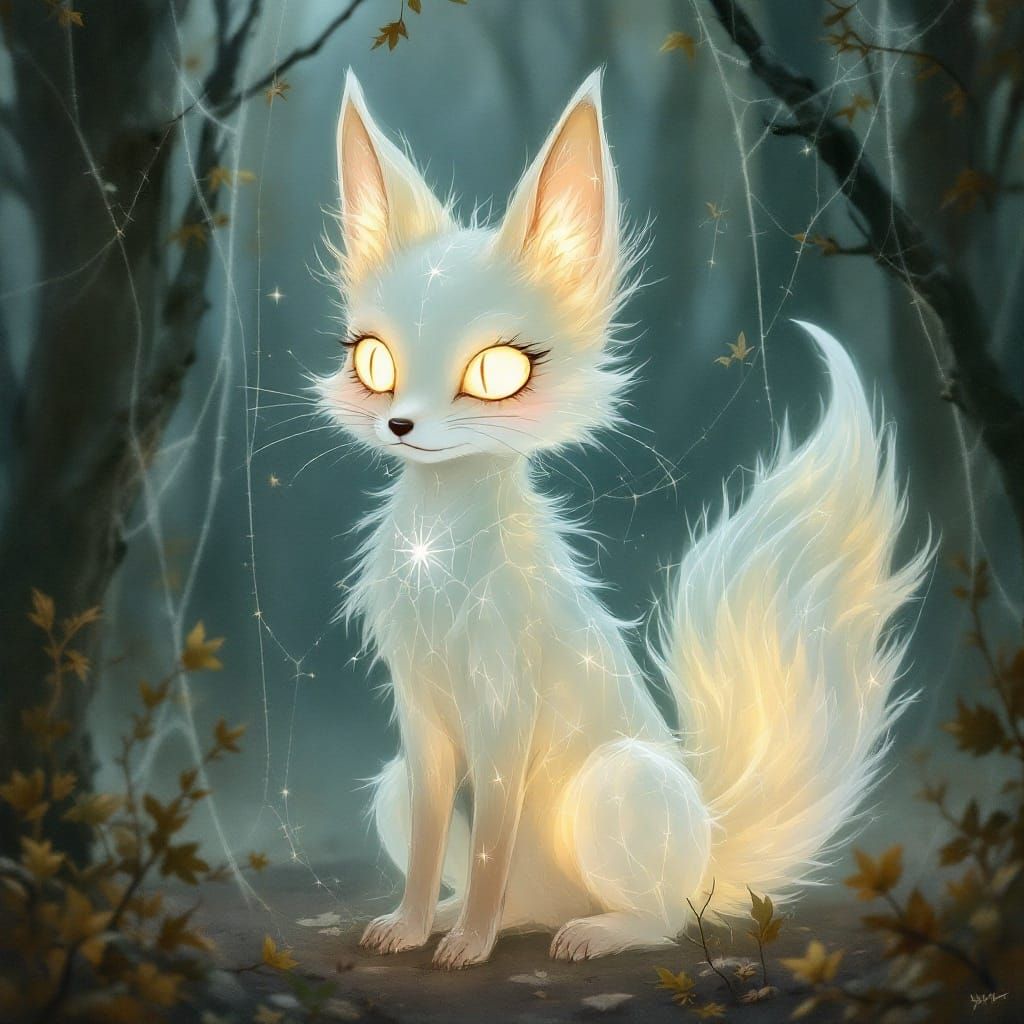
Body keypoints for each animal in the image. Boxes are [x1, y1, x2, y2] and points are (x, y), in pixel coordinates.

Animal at [316, 69, 930, 970]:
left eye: (496, 374)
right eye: (371, 360)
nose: (400, 426)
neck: (444, 532)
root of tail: (710, 847)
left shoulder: (506, 710)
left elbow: (491, 833)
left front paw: (465, 949)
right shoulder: (421, 719)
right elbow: (437, 840)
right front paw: (412, 927)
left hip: (619, 784)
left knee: (665, 917)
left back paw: (589, 933)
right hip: (396, 781)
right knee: (507, 886)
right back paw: (487, 917)